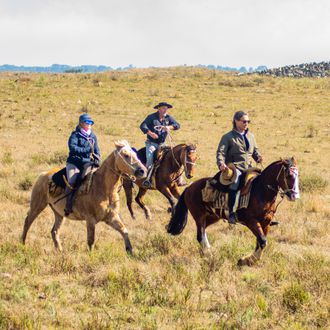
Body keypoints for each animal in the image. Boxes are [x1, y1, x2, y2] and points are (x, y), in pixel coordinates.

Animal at [169, 157, 300, 266]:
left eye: (297, 175)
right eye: (288, 175)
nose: (294, 196)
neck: (260, 191)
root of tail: (189, 188)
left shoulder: (266, 222)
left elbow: (260, 242)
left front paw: (248, 260)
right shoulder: (251, 221)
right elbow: (262, 241)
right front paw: (248, 260)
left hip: (212, 217)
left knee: (203, 232)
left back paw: (208, 252)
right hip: (199, 216)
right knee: (200, 235)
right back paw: (210, 256)